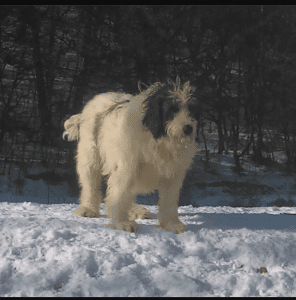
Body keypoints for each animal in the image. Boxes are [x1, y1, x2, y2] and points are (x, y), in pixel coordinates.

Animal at [64, 77, 199, 232]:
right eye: (173, 109)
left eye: (191, 110)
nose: (188, 128)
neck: (157, 137)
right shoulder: (125, 167)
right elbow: (120, 195)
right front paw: (122, 222)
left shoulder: (173, 175)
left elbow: (169, 200)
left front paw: (172, 224)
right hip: (90, 158)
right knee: (90, 185)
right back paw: (88, 209)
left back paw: (136, 211)